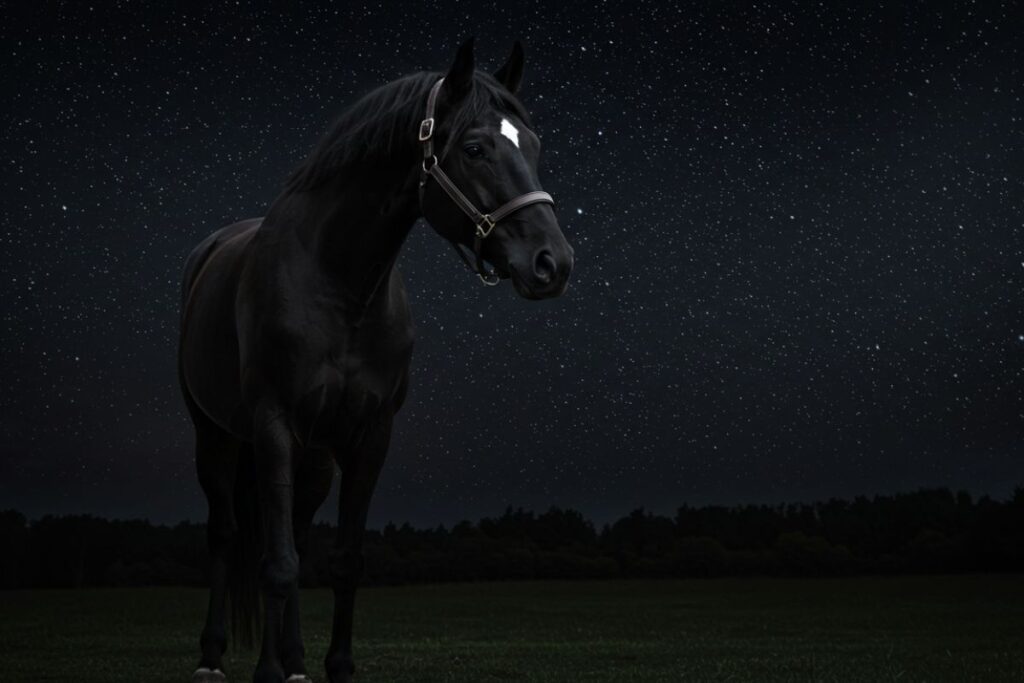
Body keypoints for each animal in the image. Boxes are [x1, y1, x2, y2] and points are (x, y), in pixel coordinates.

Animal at [177, 38, 574, 683]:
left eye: (534, 145)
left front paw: (334, 666)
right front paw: (266, 672)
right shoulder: (272, 425)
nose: (553, 263)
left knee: (294, 533)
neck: (339, 285)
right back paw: (214, 657)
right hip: (214, 434)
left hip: (313, 456)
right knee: (225, 534)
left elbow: (343, 562)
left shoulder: (371, 434)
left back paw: (295, 661)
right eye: (474, 148)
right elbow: (275, 563)